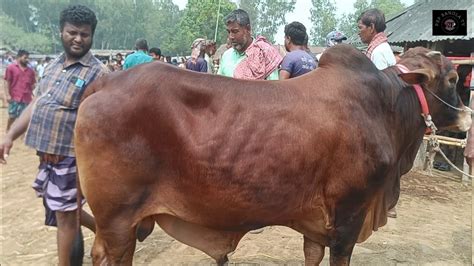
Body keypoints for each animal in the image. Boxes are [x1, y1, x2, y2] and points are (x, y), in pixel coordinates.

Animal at [74, 44, 470, 264]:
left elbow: (312, 255)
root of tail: (106, 81)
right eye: (452, 79)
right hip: (118, 221)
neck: (386, 105)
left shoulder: (317, 225)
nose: (468, 116)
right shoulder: (348, 216)